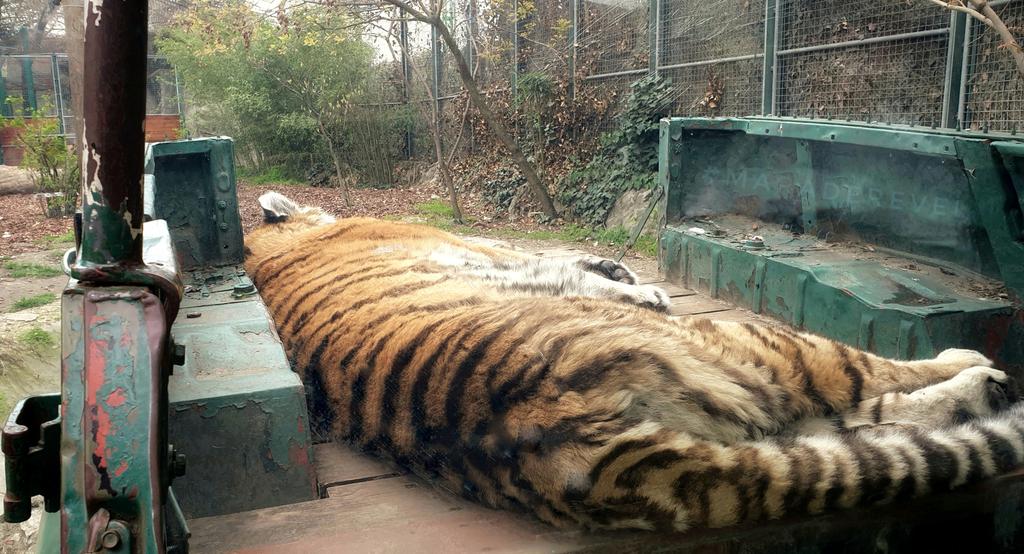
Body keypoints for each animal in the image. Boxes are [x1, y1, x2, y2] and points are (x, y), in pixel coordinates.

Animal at [244, 190, 1024, 533]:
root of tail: (584, 456)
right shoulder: (481, 247)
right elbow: (553, 260)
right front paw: (636, 283)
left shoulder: (502, 255)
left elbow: (561, 259)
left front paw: (620, 271)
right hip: (752, 348)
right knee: (867, 383)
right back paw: (979, 369)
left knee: (872, 426)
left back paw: (981, 391)